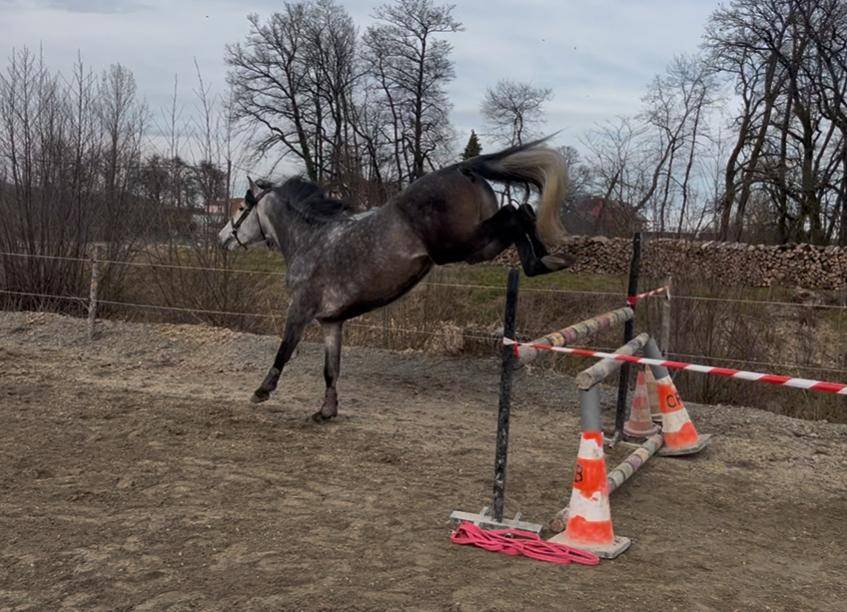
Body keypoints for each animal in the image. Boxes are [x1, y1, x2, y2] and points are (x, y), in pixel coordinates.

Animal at [218, 138, 571, 421]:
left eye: (241, 207)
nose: (222, 239)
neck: (310, 241)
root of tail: (460, 168)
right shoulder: (332, 322)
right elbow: (331, 369)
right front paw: (326, 411)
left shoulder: (300, 309)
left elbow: (284, 349)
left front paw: (262, 391)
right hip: (479, 247)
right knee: (521, 212)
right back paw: (548, 260)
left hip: (461, 245)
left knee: (517, 214)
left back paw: (545, 260)